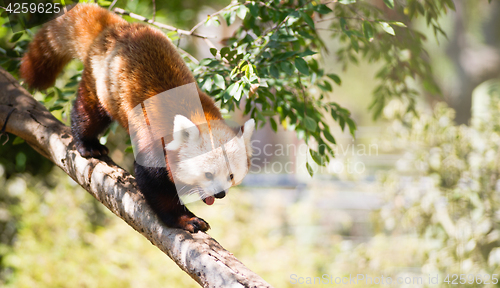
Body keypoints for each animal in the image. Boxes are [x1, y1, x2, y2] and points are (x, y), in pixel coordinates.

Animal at [19, 3, 254, 233]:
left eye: (231, 175)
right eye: (208, 175)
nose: (220, 193)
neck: (198, 114)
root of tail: (116, 28)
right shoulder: (154, 136)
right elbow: (155, 185)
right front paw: (186, 219)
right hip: (102, 85)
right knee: (89, 113)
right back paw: (88, 144)